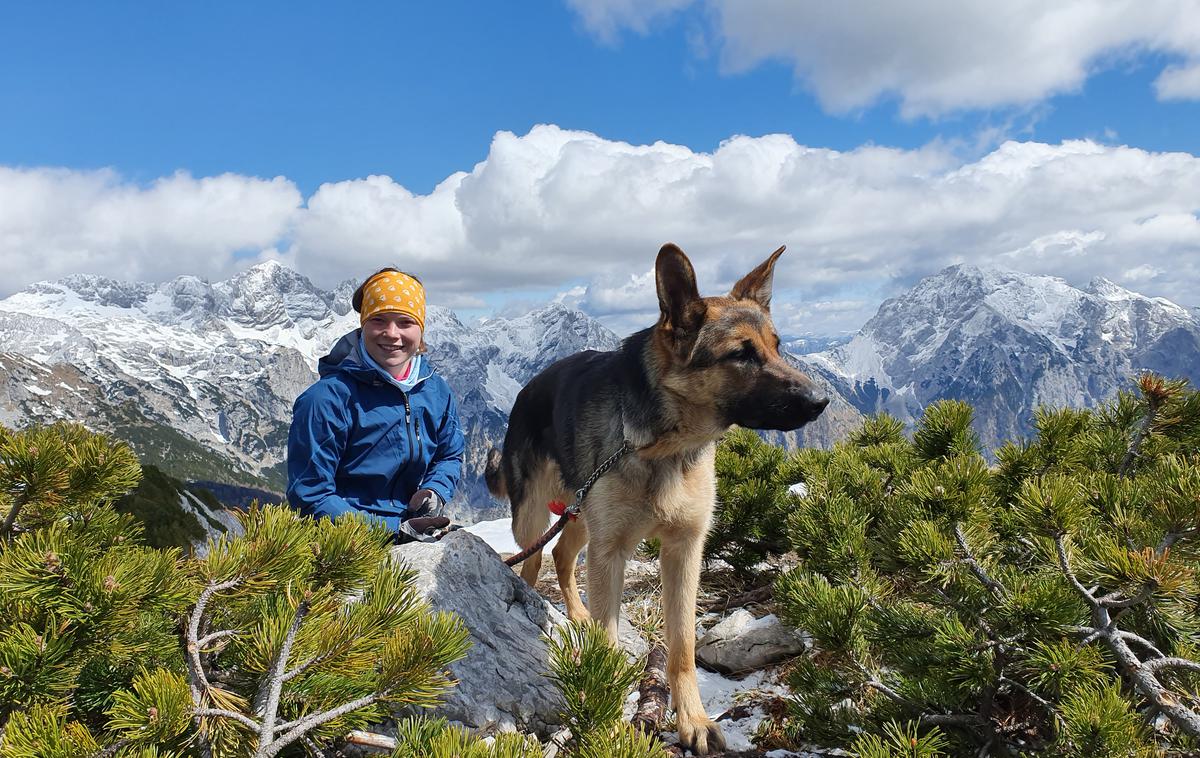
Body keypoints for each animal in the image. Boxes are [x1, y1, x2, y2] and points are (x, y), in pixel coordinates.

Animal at [482, 242, 830, 753]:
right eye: (741, 354)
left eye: (777, 346)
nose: (821, 400)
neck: (661, 443)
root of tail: (528, 387)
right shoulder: (611, 554)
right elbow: (607, 648)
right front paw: (607, 724)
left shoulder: (684, 549)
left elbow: (682, 645)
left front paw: (693, 720)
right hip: (536, 517)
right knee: (533, 561)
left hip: (580, 513)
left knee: (563, 555)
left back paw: (578, 613)